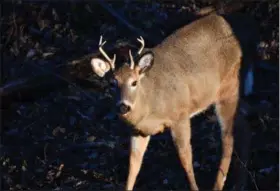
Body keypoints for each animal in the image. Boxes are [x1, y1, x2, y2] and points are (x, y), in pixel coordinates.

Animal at [89, 5, 258, 190]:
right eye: (112, 83)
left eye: (134, 82)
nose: (123, 106)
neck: (150, 105)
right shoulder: (138, 131)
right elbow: (133, 165)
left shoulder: (180, 115)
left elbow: (186, 159)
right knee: (245, 124)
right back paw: (241, 181)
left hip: (228, 88)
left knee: (228, 139)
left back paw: (219, 185)